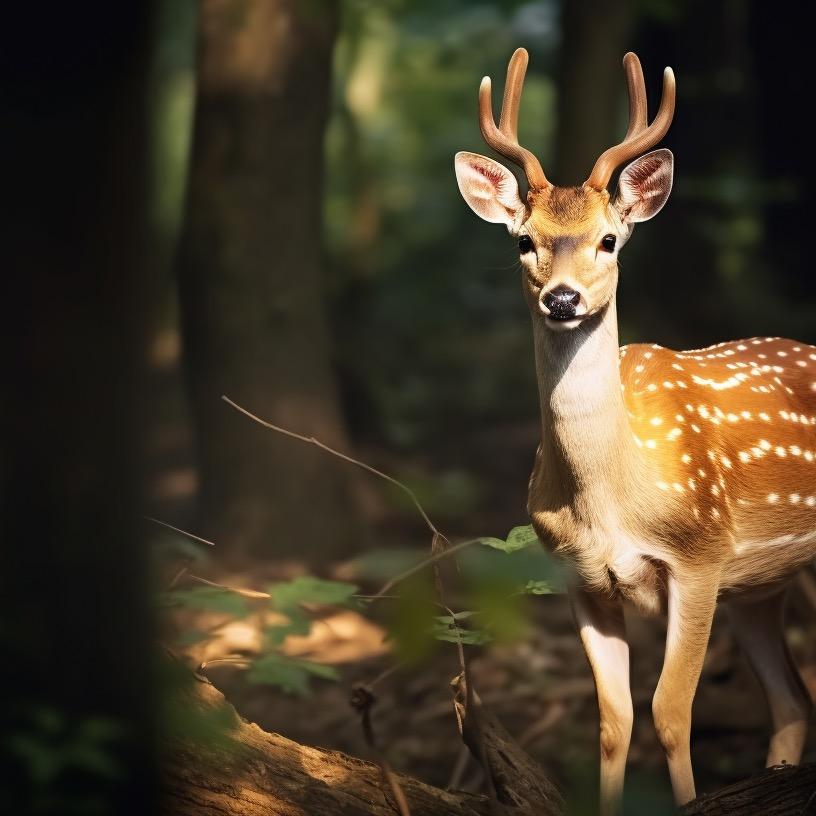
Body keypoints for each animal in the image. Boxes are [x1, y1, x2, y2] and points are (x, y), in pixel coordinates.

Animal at [454, 48, 816, 813]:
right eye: (524, 241)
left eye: (609, 238)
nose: (563, 297)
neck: (613, 498)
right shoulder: (581, 579)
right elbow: (614, 721)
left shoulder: (701, 556)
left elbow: (670, 712)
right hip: (761, 588)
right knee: (795, 701)